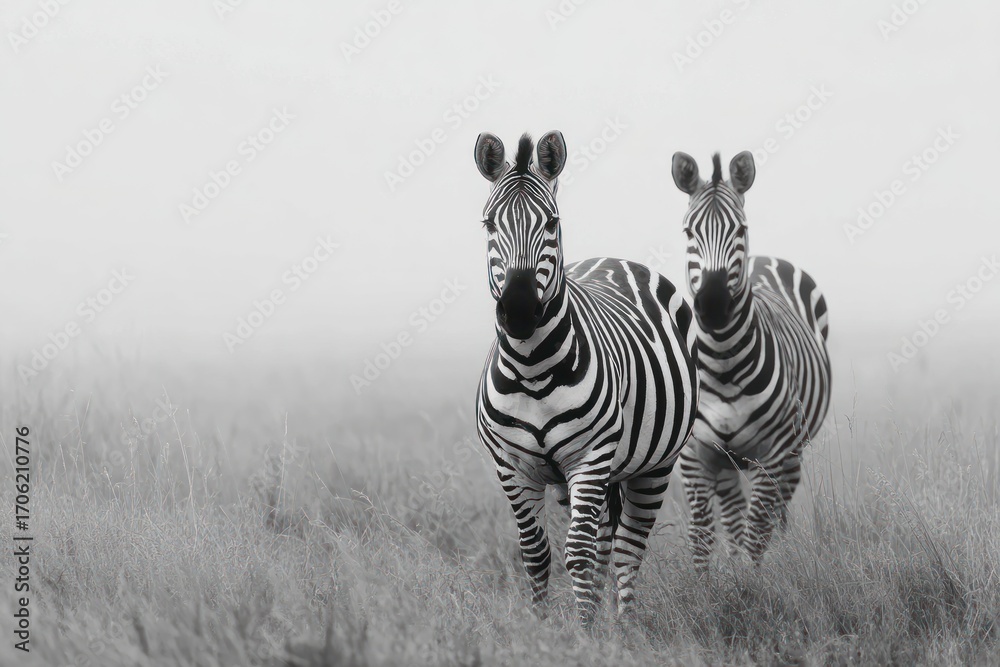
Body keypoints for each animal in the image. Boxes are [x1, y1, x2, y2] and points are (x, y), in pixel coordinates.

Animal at [473, 131, 699, 625]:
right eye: (489, 225)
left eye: (552, 223)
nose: (519, 311)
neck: (532, 369)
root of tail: (611, 259)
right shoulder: (510, 465)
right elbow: (536, 554)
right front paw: (543, 629)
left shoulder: (590, 456)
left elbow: (577, 553)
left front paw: (582, 632)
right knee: (604, 544)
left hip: (653, 464)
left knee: (627, 547)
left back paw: (623, 626)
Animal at [670, 150, 831, 572]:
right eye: (688, 233)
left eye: (740, 229)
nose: (712, 306)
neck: (723, 362)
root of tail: (765, 258)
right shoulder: (695, 456)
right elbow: (703, 535)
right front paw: (712, 584)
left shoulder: (772, 453)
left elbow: (758, 531)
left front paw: (754, 581)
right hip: (726, 460)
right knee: (732, 514)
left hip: (793, 450)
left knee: (776, 514)